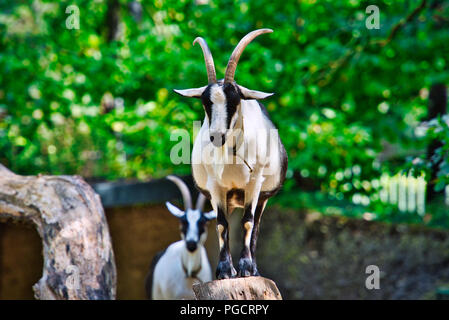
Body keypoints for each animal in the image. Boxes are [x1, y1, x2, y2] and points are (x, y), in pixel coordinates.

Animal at [174, 30, 288, 280]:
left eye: (235, 100)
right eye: (205, 102)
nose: (217, 136)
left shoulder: (254, 184)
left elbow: (247, 223)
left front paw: (246, 268)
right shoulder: (216, 187)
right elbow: (221, 225)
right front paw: (225, 271)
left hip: (262, 196)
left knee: (255, 227)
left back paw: (254, 269)